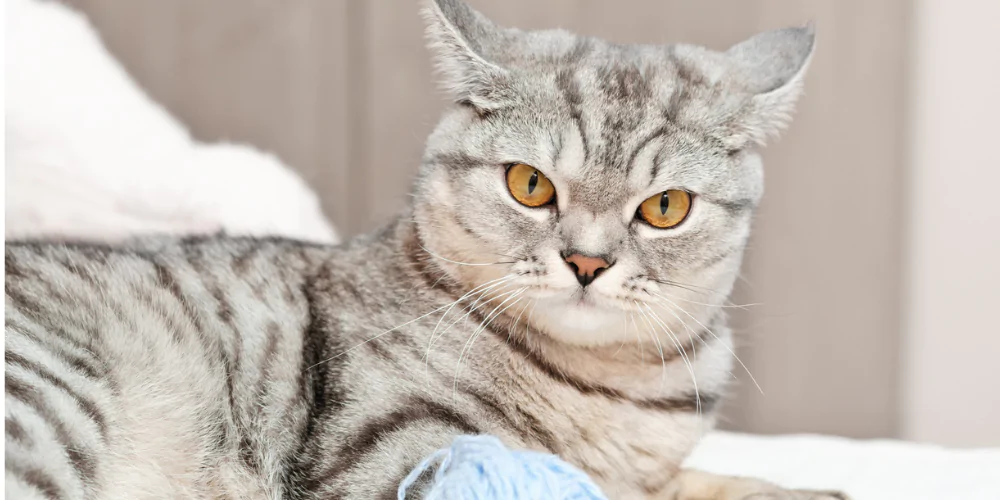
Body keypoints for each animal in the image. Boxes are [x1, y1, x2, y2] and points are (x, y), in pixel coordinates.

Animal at [1, 0, 844, 500]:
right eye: (530, 185)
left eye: (665, 208)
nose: (588, 263)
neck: (612, 389)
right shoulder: (393, 449)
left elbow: (721, 479)